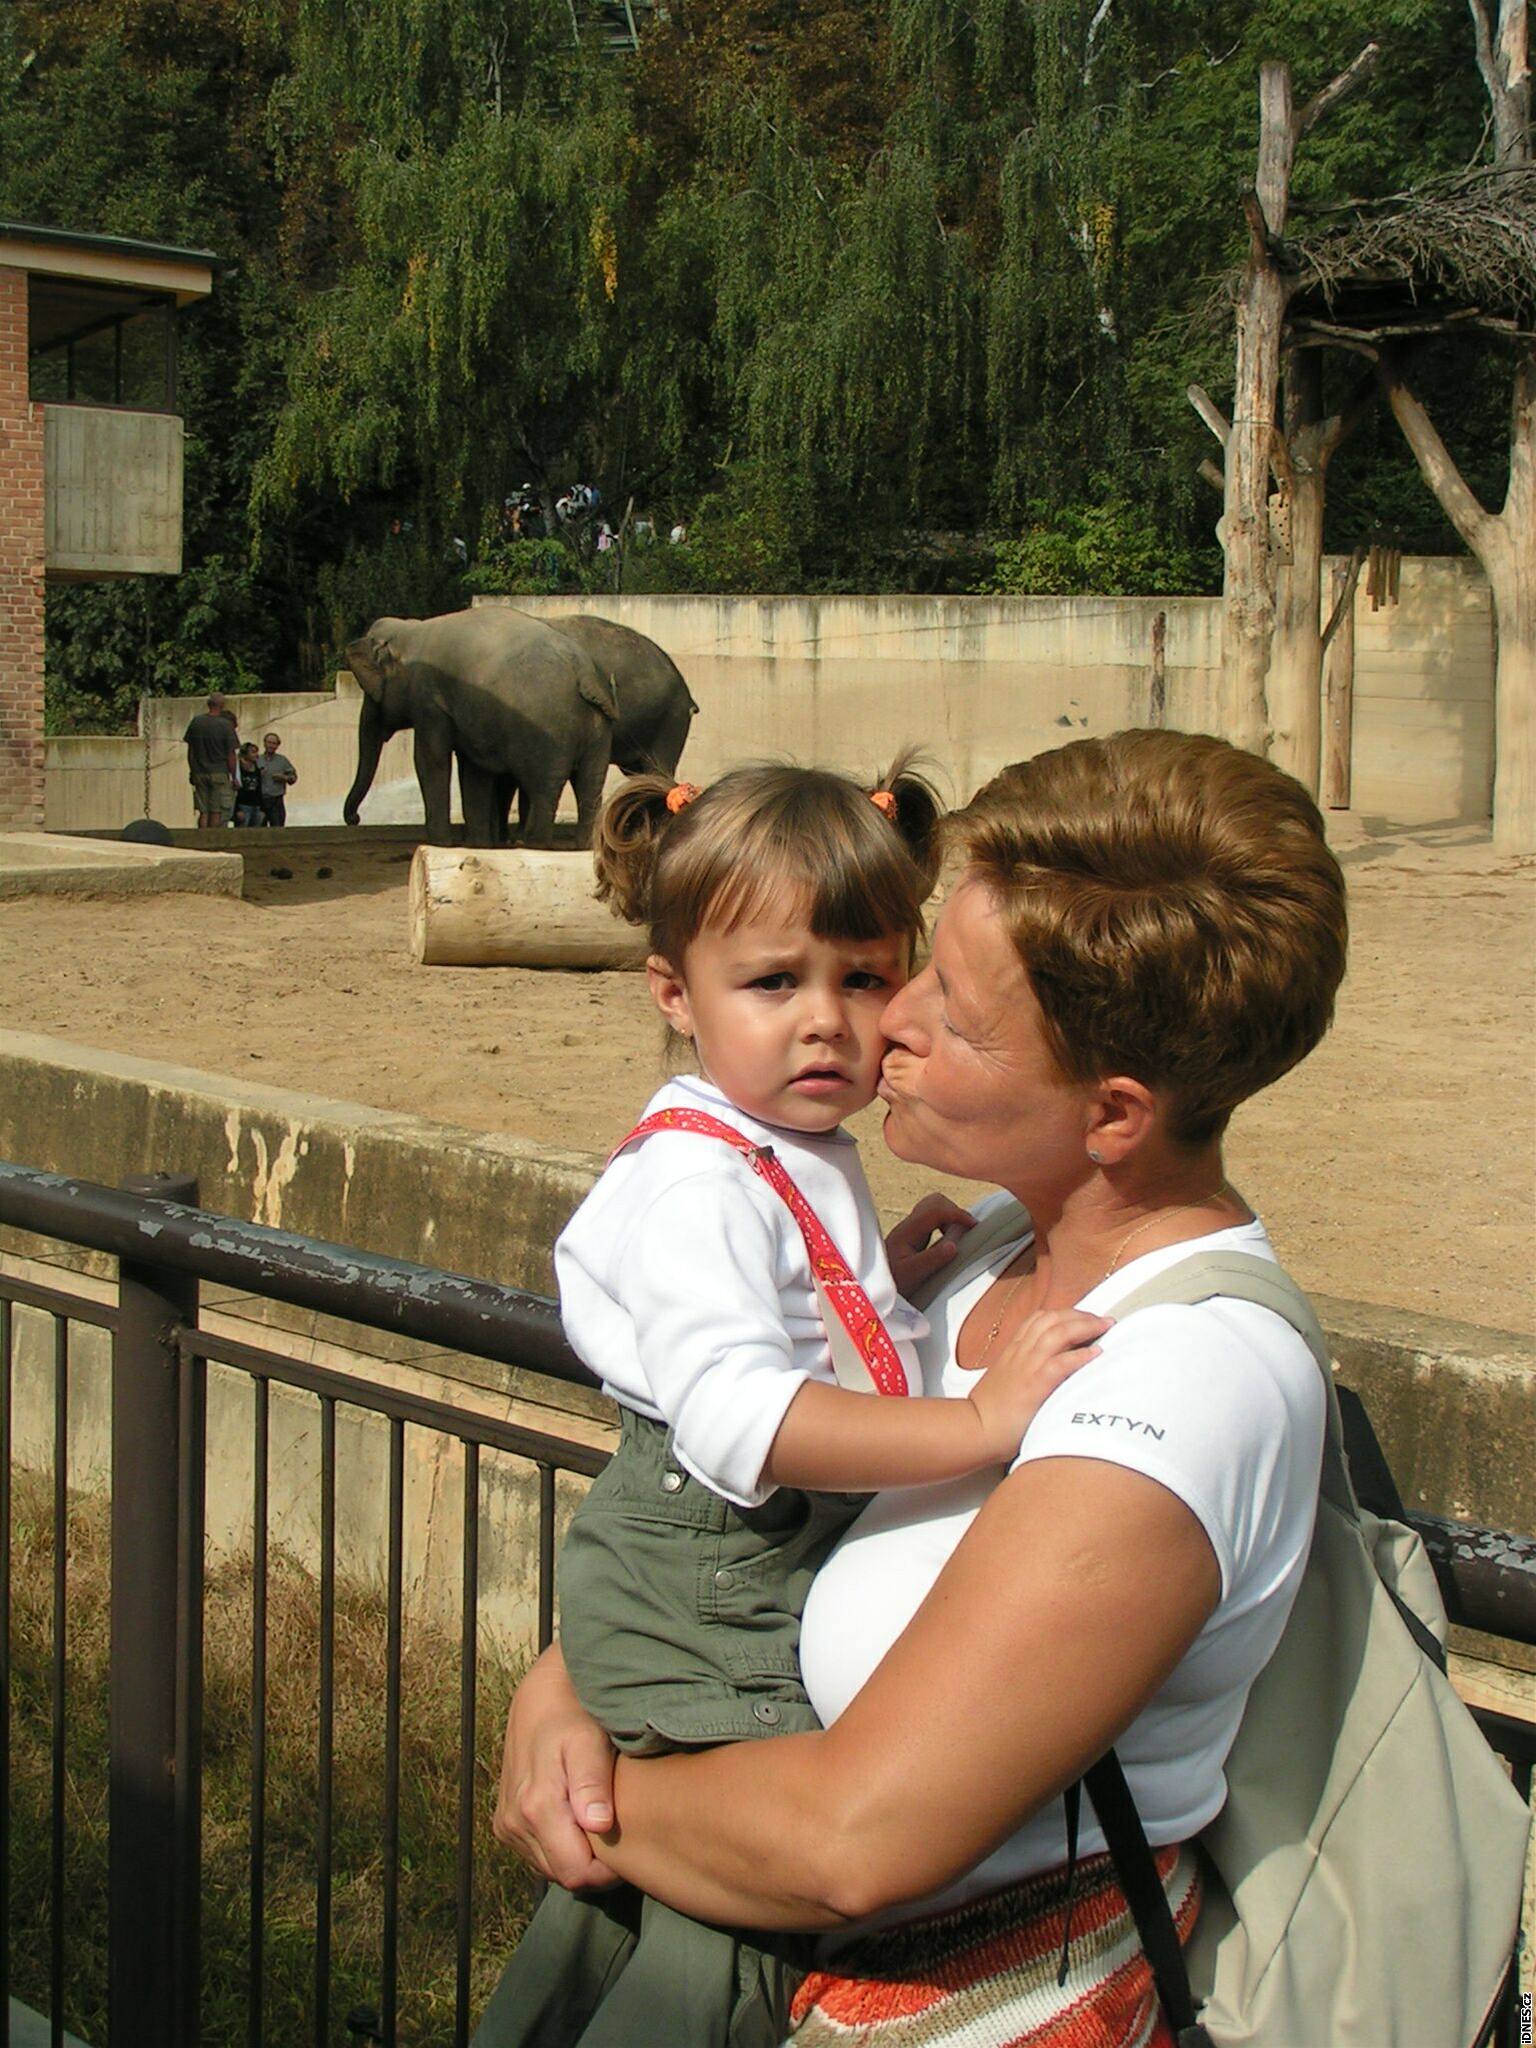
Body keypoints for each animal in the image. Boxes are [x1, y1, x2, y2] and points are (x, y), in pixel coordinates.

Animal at [342, 602, 618, 843]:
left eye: (368, 691)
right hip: (598, 730)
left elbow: (431, 760)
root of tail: (584, 673)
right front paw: (477, 844)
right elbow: (474, 768)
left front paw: (440, 844)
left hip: (549, 731)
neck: (410, 631)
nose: (355, 818)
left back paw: (532, 844)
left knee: (545, 789)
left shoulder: (429, 701)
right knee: (590, 786)